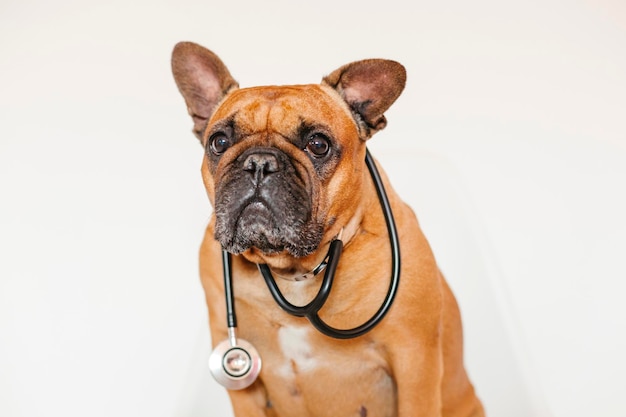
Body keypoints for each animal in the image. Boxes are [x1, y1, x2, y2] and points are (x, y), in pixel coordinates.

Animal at [171, 41, 482, 416]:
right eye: (218, 142)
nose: (259, 162)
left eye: (318, 144)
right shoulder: (243, 387)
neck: (296, 271)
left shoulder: (414, 363)